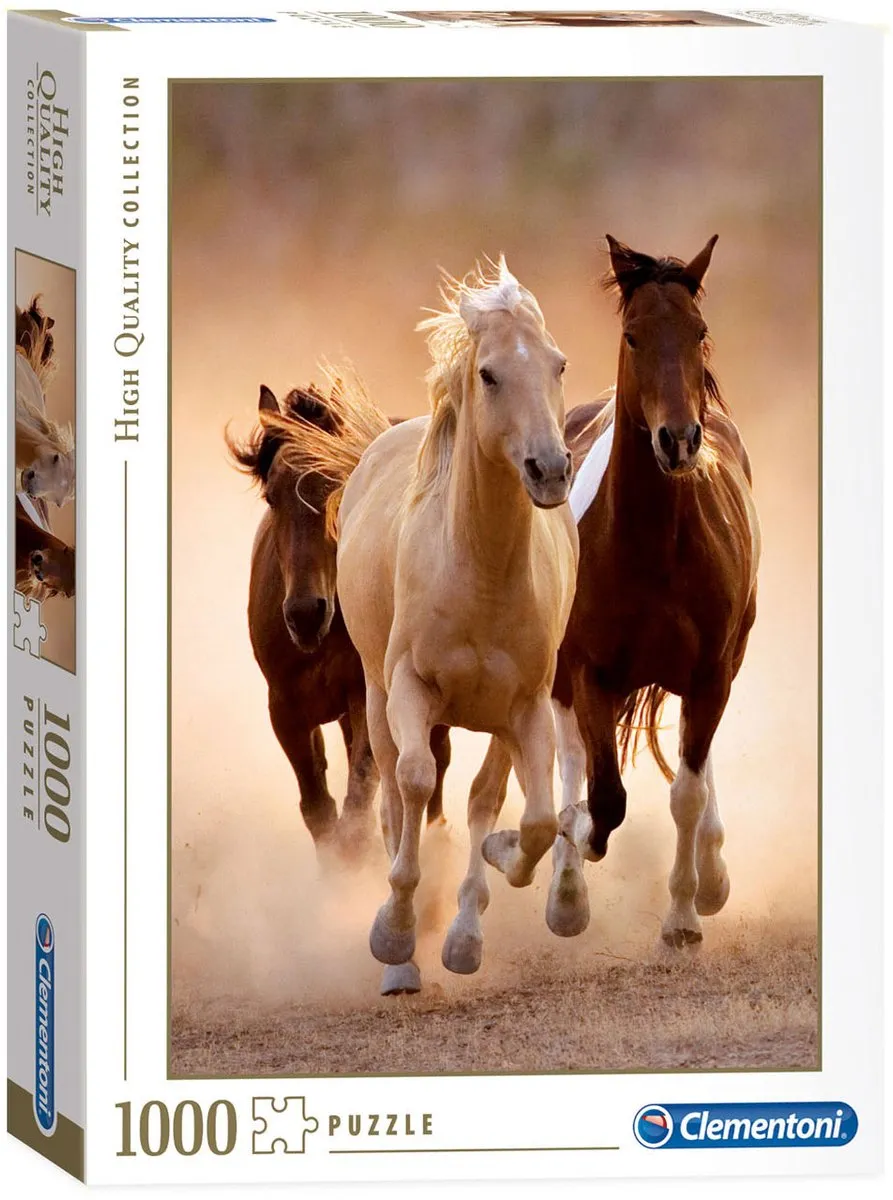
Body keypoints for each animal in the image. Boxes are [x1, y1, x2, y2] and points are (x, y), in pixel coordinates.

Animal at [227, 382, 452, 949]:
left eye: (338, 488)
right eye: (272, 496)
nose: (306, 614)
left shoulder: (365, 696)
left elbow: (359, 799)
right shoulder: (285, 709)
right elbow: (319, 808)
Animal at [326, 258, 580, 991]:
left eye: (557, 364)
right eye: (489, 374)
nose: (550, 470)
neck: (480, 573)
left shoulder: (525, 707)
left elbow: (531, 817)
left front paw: (493, 875)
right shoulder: (409, 689)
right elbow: (413, 783)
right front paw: (393, 932)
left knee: (482, 797)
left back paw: (462, 931)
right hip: (377, 696)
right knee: (393, 792)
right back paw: (402, 960)